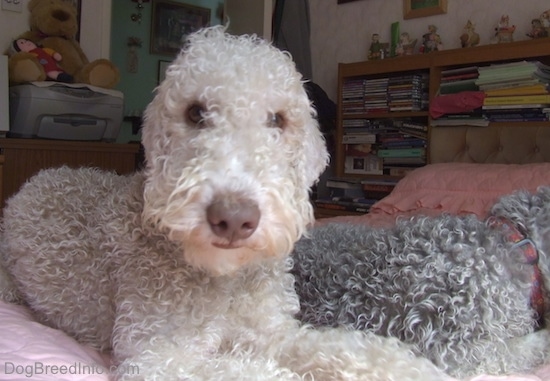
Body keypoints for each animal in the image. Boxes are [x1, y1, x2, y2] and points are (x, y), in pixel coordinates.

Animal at [1, 27, 452, 380]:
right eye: (195, 112)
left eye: (278, 119)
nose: (233, 219)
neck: (225, 279)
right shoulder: (157, 357)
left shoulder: (270, 331)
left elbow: (340, 349)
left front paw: (415, 369)